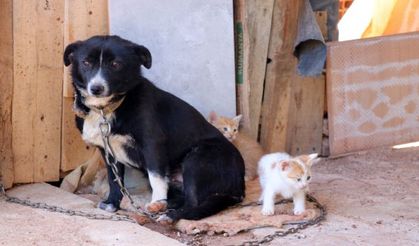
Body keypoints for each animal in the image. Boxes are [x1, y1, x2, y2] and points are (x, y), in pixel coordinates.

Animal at [63, 35, 244, 221]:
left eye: (115, 64)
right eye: (86, 62)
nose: (96, 88)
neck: (106, 109)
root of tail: (238, 187)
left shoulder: (152, 144)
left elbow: (156, 177)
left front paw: (157, 200)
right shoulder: (109, 152)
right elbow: (115, 180)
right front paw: (112, 203)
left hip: (197, 159)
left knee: (193, 203)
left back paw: (169, 214)